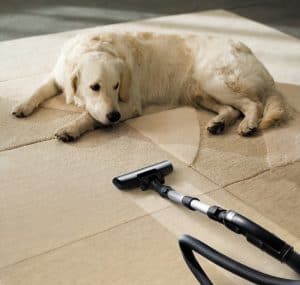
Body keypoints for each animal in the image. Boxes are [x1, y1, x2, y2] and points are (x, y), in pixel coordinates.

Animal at [12, 31, 288, 141]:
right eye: (95, 87)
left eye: (116, 86)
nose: (114, 117)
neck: (93, 47)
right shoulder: (58, 76)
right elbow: (39, 89)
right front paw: (22, 106)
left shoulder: (129, 104)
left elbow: (89, 116)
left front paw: (70, 129)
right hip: (200, 92)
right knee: (231, 108)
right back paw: (219, 123)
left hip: (215, 81)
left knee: (252, 103)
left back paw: (248, 125)